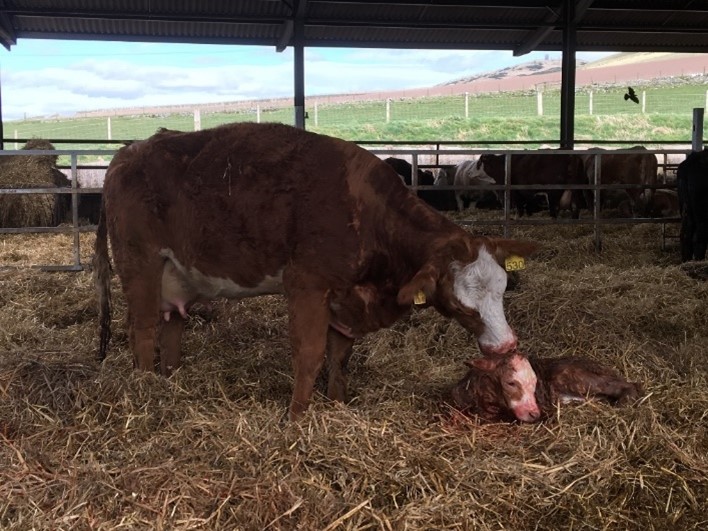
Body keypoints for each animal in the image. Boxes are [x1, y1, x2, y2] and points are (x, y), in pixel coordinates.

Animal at [92, 122, 536, 422]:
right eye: (462, 305)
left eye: (503, 288)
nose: (505, 345)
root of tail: (126, 154)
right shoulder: (307, 286)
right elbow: (309, 354)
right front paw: (296, 417)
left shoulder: (346, 297)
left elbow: (340, 356)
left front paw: (336, 403)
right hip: (140, 265)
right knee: (143, 331)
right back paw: (146, 392)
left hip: (177, 275)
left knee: (170, 329)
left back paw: (170, 382)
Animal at [450, 354, 644, 424]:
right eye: (510, 383)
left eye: (535, 383)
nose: (534, 414)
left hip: (573, 376)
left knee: (628, 385)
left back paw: (623, 405)